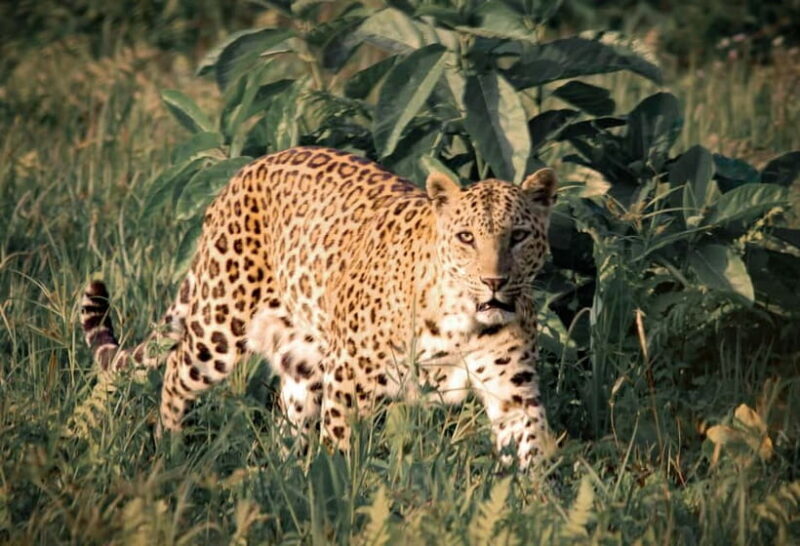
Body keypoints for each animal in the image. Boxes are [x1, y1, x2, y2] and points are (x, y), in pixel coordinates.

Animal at [80, 146, 558, 469]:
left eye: (518, 236)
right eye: (466, 237)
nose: (494, 282)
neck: (463, 320)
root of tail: (246, 170)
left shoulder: (512, 390)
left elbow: (531, 445)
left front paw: (538, 509)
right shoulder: (351, 377)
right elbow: (341, 445)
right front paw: (339, 492)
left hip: (304, 354)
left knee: (289, 417)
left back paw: (288, 474)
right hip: (219, 322)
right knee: (177, 369)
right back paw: (171, 449)